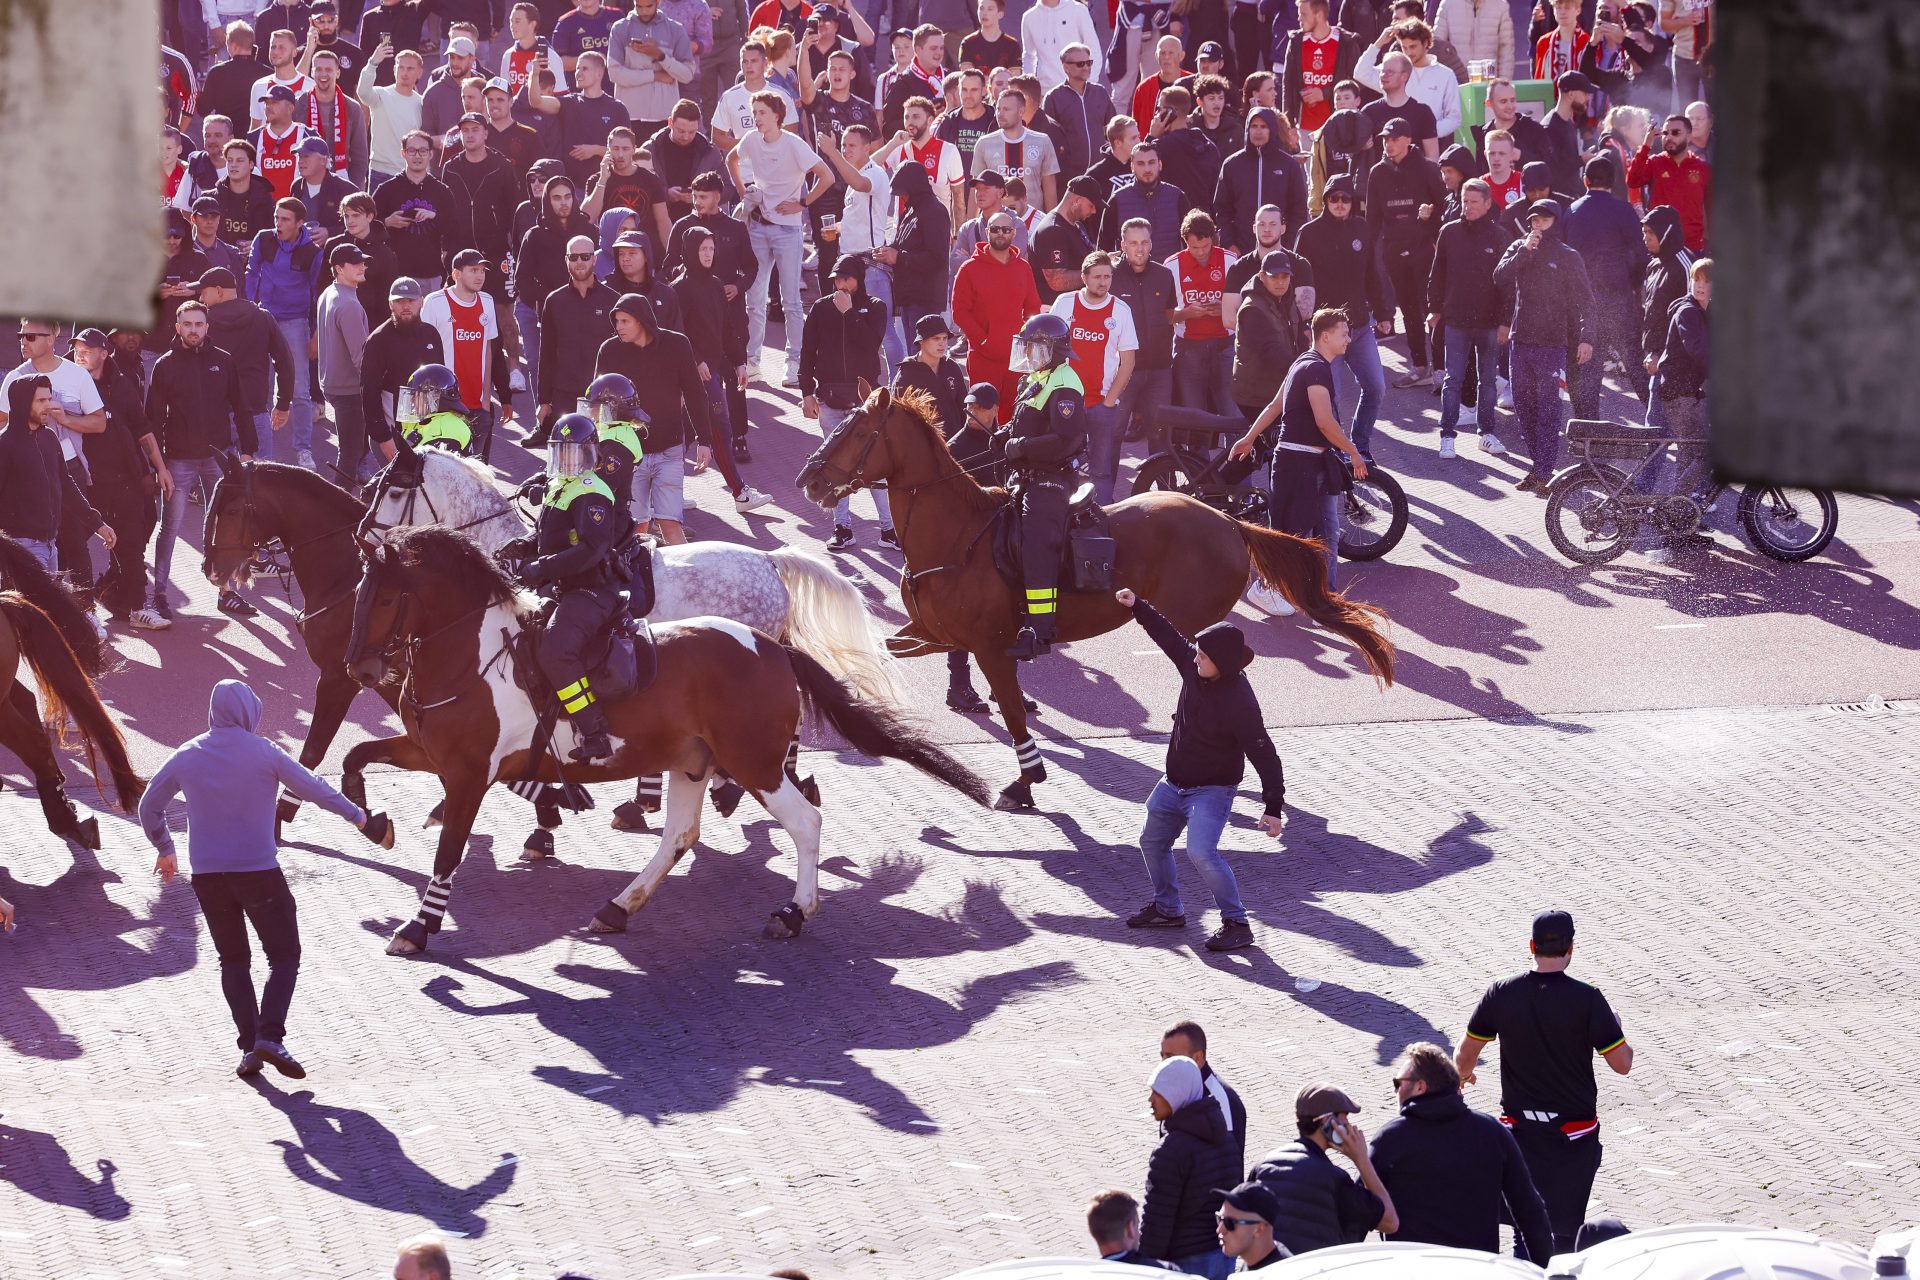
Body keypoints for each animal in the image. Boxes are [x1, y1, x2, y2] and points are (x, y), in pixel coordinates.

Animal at [337, 525, 990, 955]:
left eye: (387, 596)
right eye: (357, 592)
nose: (357, 669)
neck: (474, 658)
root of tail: (774, 648)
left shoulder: (471, 772)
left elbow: (448, 851)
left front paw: (419, 927)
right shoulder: (433, 754)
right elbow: (356, 756)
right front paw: (373, 819)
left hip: (754, 762)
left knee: (805, 822)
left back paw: (794, 912)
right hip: (692, 760)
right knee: (681, 833)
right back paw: (618, 906)